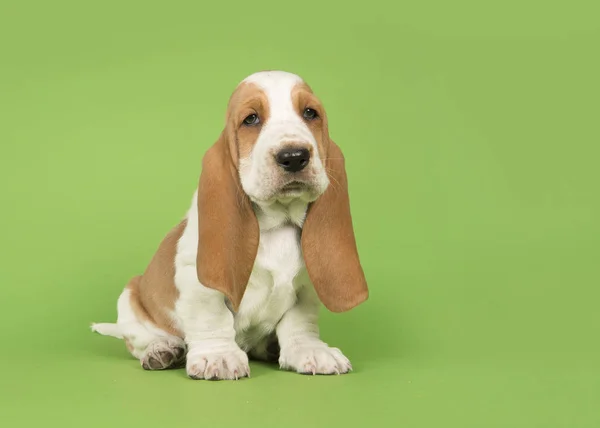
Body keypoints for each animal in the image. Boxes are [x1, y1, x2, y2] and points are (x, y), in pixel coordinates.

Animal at [91, 71, 368, 382]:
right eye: (251, 119)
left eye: (310, 113)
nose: (294, 156)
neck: (279, 222)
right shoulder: (198, 280)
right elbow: (213, 317)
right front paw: (218, 356)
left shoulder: (307, 287)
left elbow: (299, 322)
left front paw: (310, 350)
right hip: (130, 297)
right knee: (140, 340)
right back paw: (161, 350)